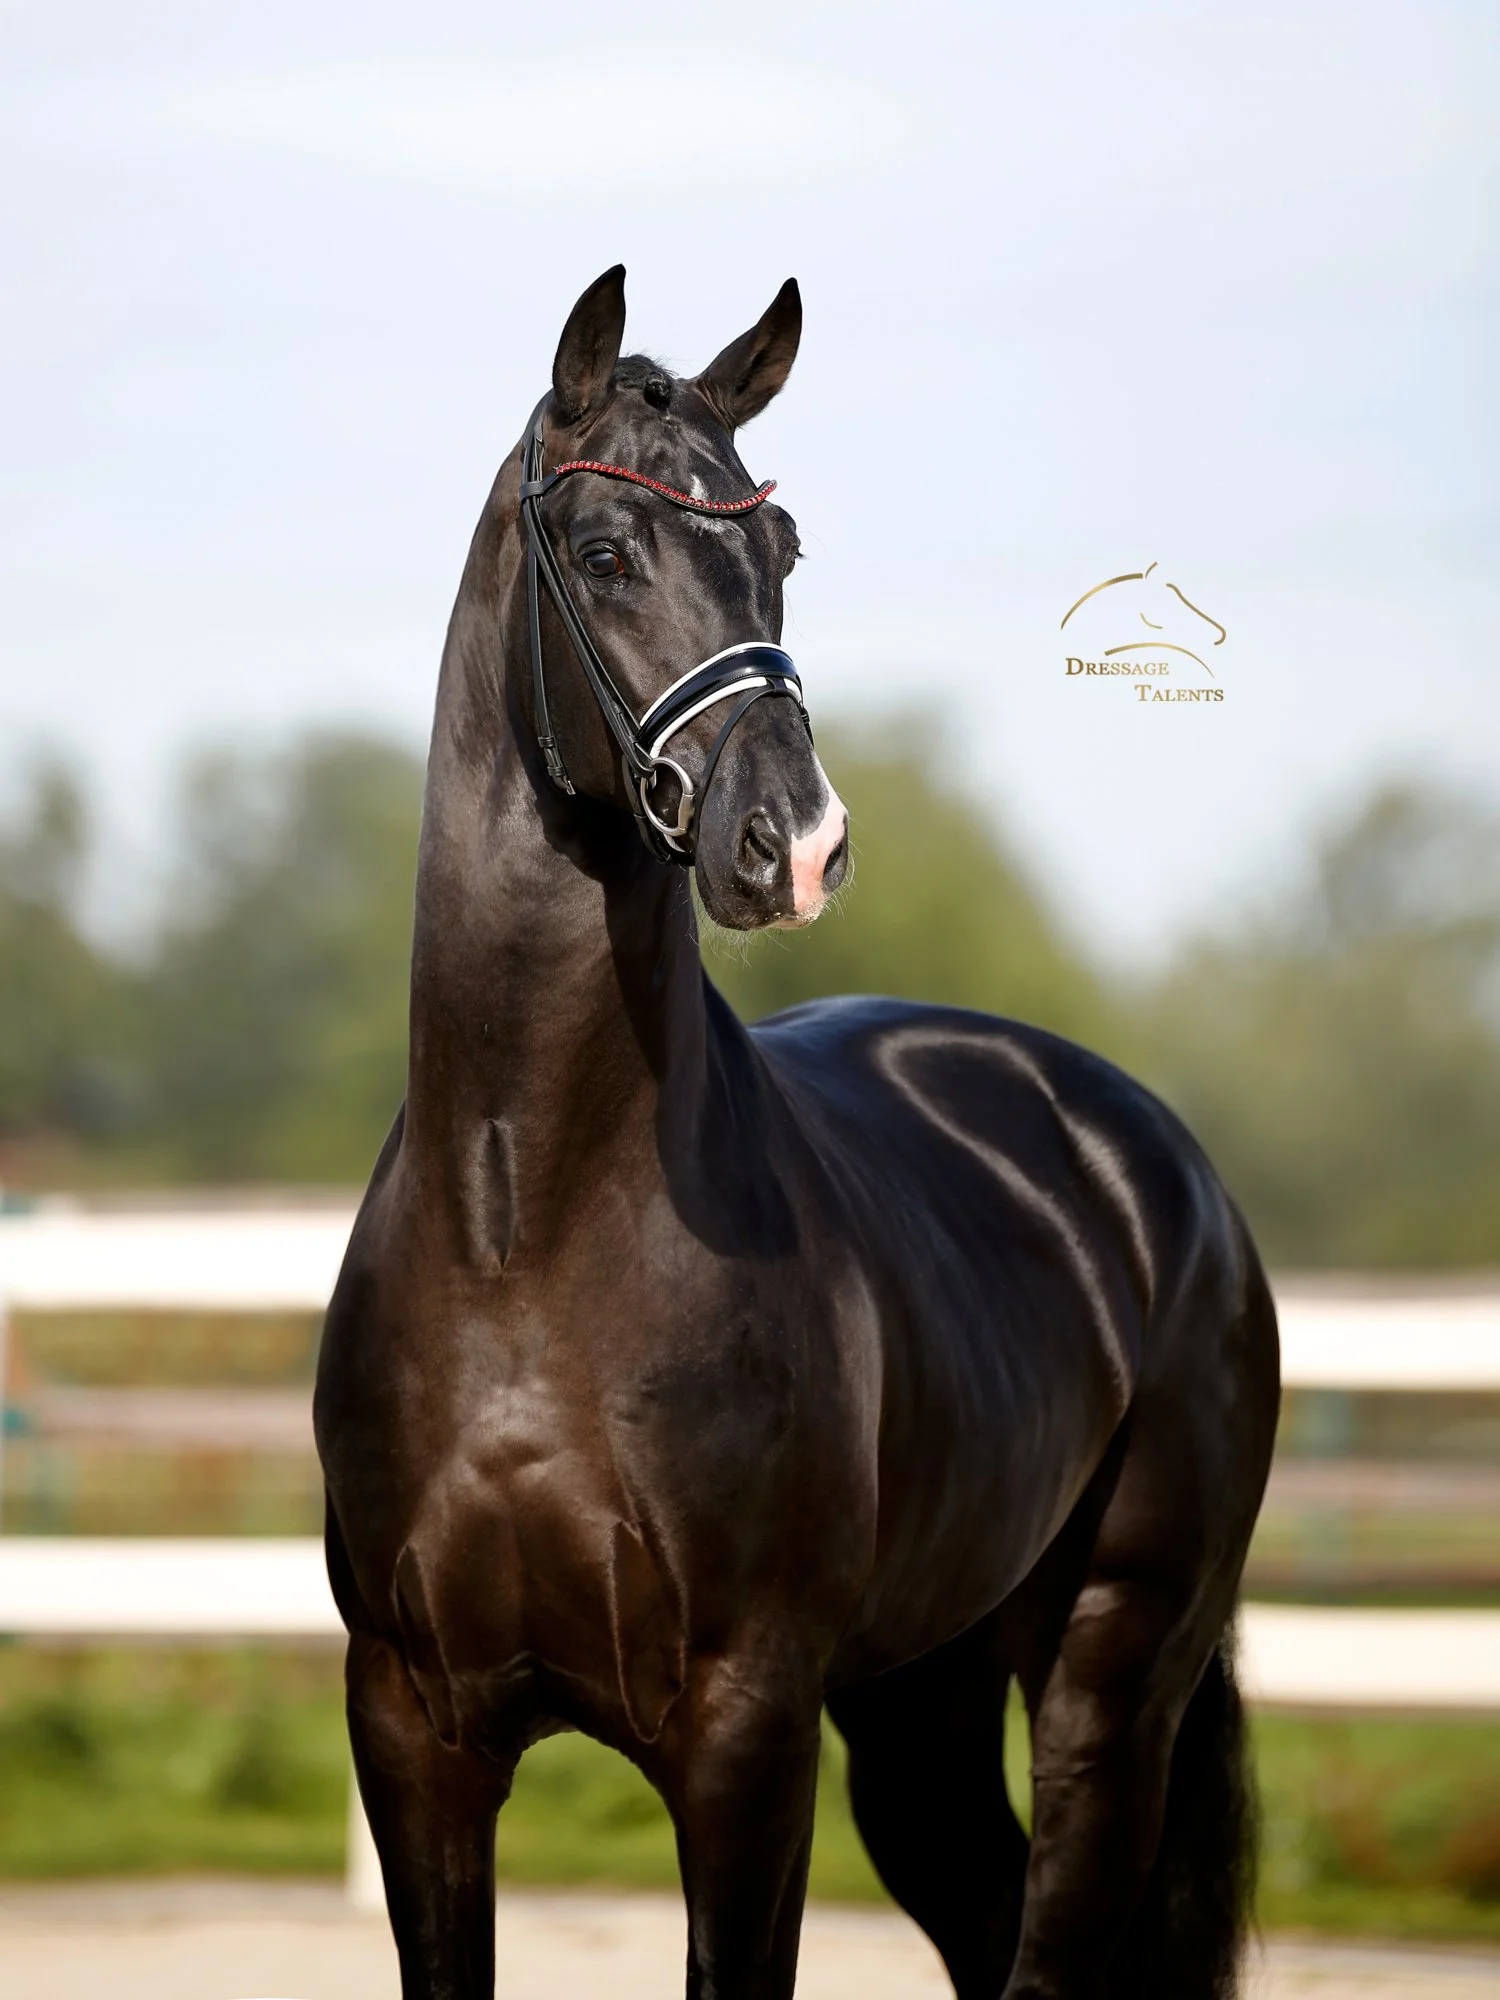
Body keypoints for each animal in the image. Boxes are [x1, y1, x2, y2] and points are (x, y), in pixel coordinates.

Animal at [314, 266, 1280, 2000]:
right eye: (606, 552)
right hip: (921, 1701)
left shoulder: (744, 1727)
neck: (521, 1227)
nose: (799, 844)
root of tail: (1151, 1161)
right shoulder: (414, 1725)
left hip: (1114, 1675)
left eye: (781, 550)